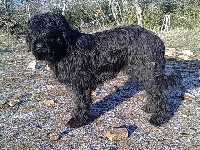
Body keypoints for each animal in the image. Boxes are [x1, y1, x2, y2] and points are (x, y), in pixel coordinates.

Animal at [25, 12, 179, 127]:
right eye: (33, 32)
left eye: (49, 29)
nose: (39, 47)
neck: (66, 47)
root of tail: (158, 40)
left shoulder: (81, 84)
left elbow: (80, 104)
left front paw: (77, 120)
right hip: (143, 72)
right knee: (153, 92)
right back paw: (150, 108)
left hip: (147, 72)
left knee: (160, 94)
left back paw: (158, 118)